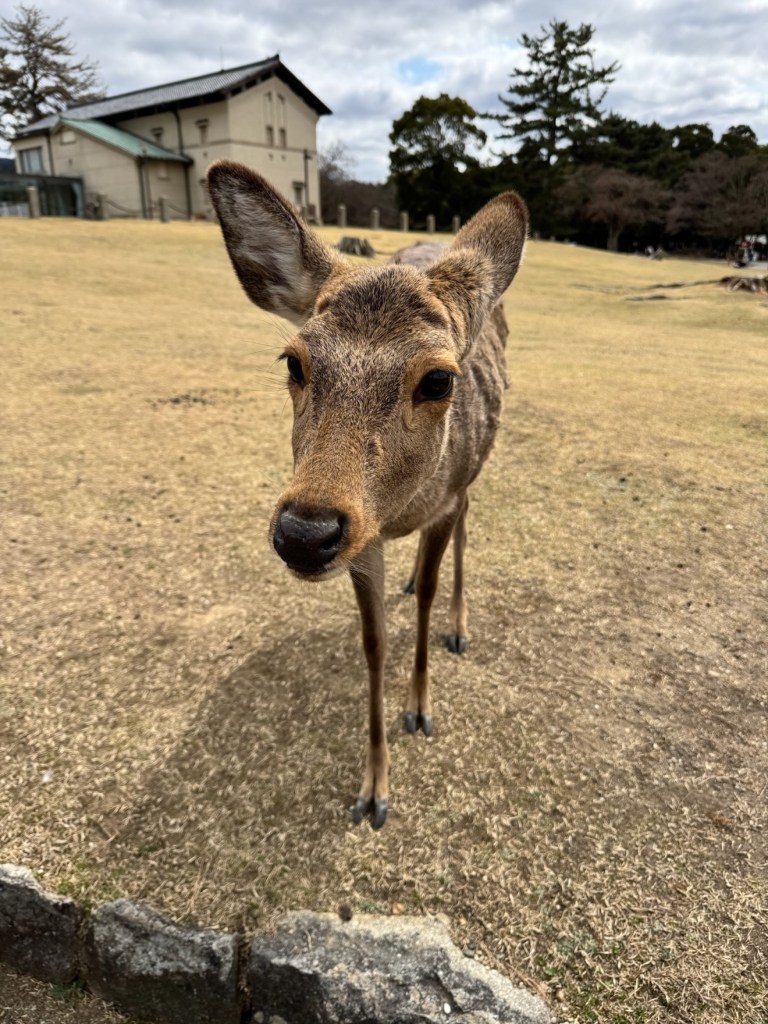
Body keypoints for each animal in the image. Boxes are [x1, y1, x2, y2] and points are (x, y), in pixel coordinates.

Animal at [206, 161, 528, 829]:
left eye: (439, 379)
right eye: (294, 362)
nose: (304, 533)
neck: (399, 509)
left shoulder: (442, 503)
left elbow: (428, 598)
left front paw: (420, 708)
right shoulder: (364, 541)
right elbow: (373, 641)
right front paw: (374, 790)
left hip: (475, 470)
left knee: (467, 525)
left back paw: (459, 625)